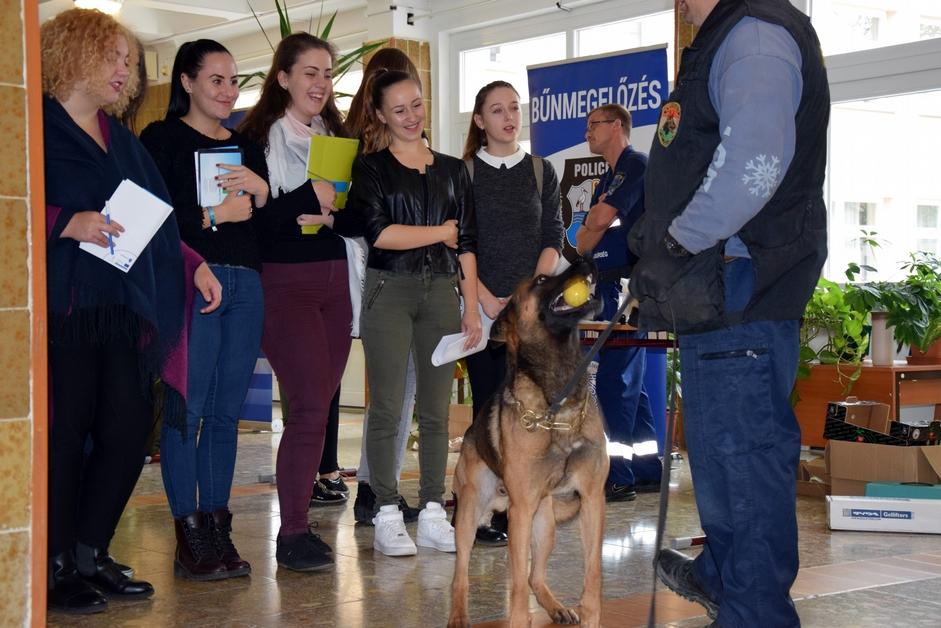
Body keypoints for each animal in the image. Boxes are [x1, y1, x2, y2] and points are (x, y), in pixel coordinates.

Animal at [450, 258, 608, 628]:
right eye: (541, 280)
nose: (588, 259)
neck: (558, 400)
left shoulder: (593, 499)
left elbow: (592, 572)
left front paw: (590, 614)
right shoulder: (521, 512)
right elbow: (517, 588)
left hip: (544, 523)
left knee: (536, 576)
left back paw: (556, 607)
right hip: (470, 514)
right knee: (461, 574)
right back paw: (459, 616)